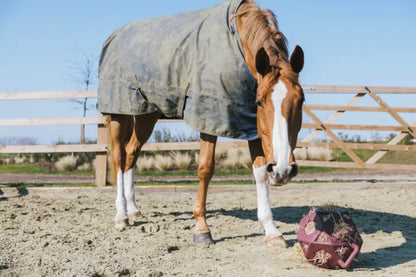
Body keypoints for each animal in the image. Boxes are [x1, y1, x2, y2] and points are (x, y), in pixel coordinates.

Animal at [97, 0, 306, 246]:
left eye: (301, 100)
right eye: (261, 102)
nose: (283, 171)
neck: (236, 41)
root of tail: (115, 36)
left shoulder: (251, 124)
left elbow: (260, 171)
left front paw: (271, 231)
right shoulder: (209, 115)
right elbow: (206, 168)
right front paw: (202, 229)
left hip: (146, 115)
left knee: (131, 153)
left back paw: (133, 210)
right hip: (118, 113)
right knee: (119, 157)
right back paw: (121, 216)